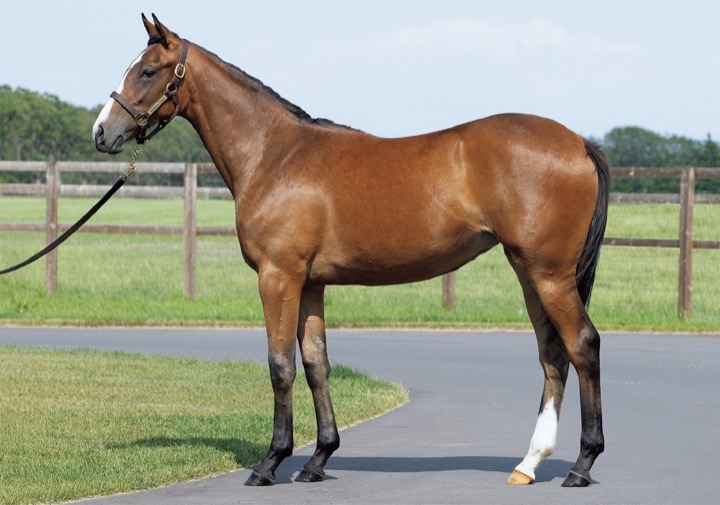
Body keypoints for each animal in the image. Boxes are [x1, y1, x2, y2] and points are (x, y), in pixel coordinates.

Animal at [93, 14, 609, 488]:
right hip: (528, 271)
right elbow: (316, 364)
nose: (102, 132)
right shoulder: (310, 284)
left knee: (582, 345)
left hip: (548, 273)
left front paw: (270, 462)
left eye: (148, 70)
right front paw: (319, 459)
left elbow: (280, 365)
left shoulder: (277, 277)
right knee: (552, 354)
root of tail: (579, 142)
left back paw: (582, 464)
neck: (274, 154)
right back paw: (529, 463)